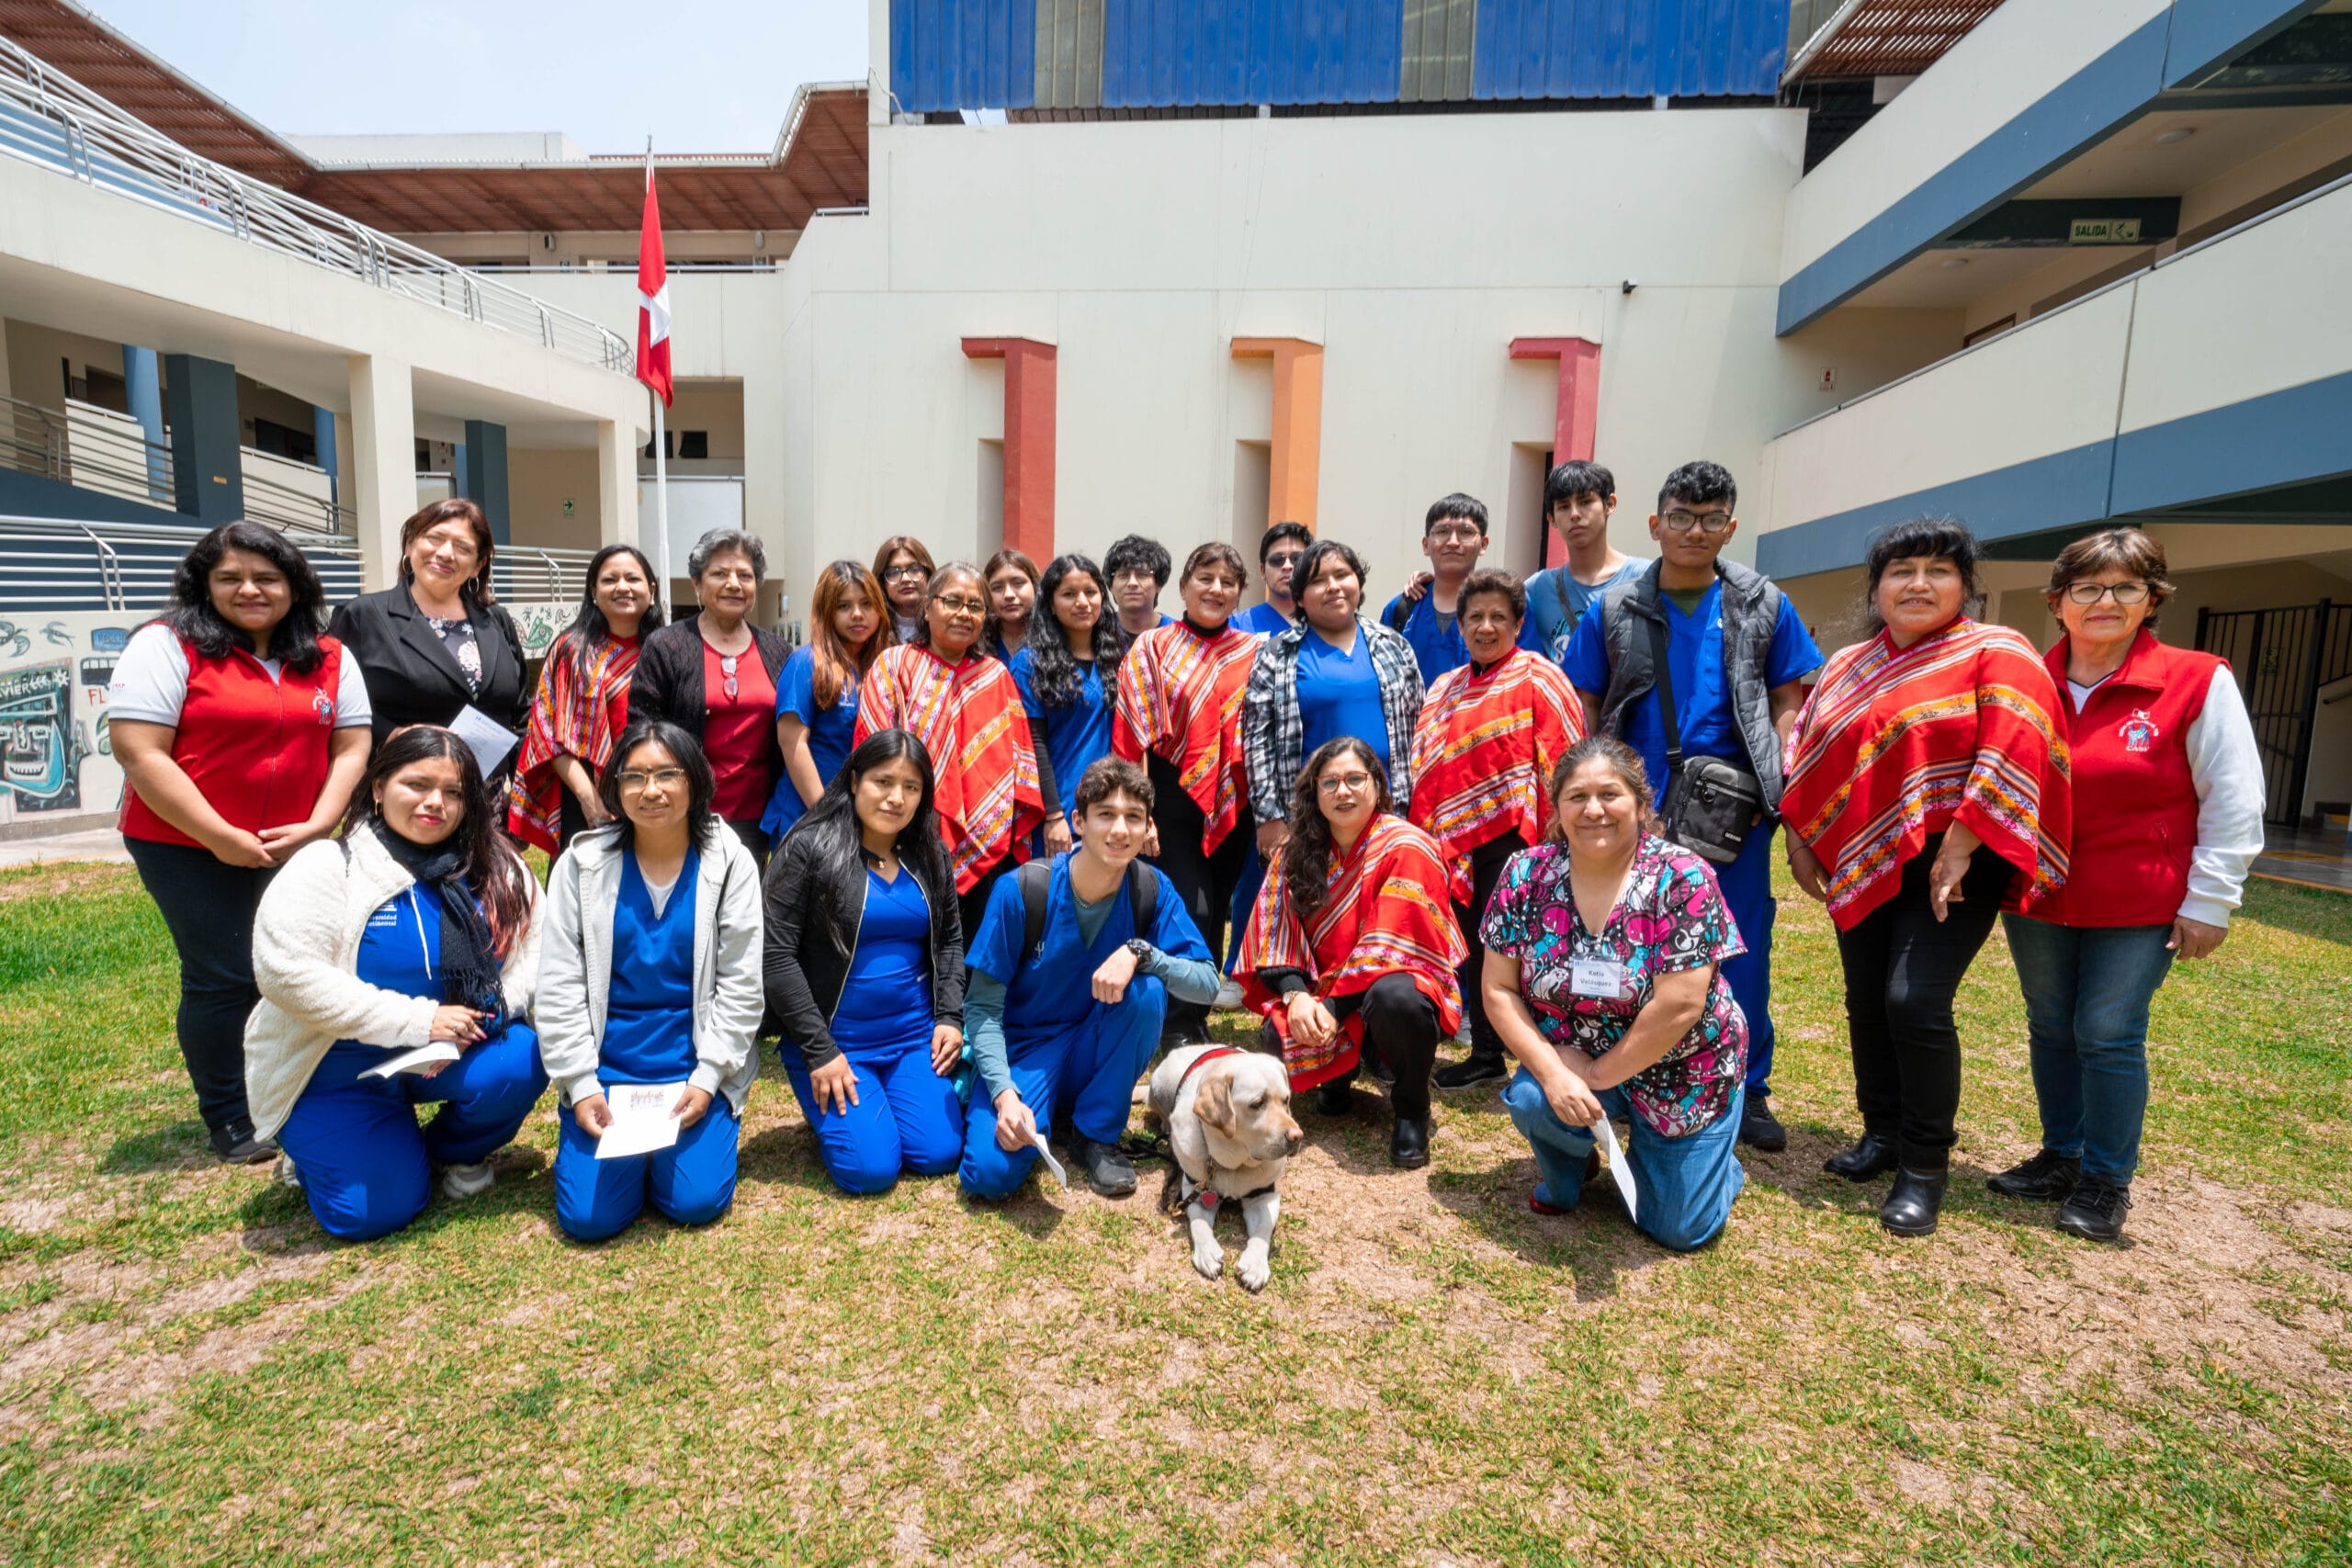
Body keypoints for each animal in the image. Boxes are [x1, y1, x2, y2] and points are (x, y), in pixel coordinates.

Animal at [1143, 1043, 1298, 1288]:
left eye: (1286, 1100)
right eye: (1257, 1103)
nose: (1297, 1136)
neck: (1232, 1165)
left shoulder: (1264, 1196)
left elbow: (1263, 1230)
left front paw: (1255, 1265)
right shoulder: (1194, 1192)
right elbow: (1199, 1224)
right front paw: (1207, 1254)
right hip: (1159, 1085)